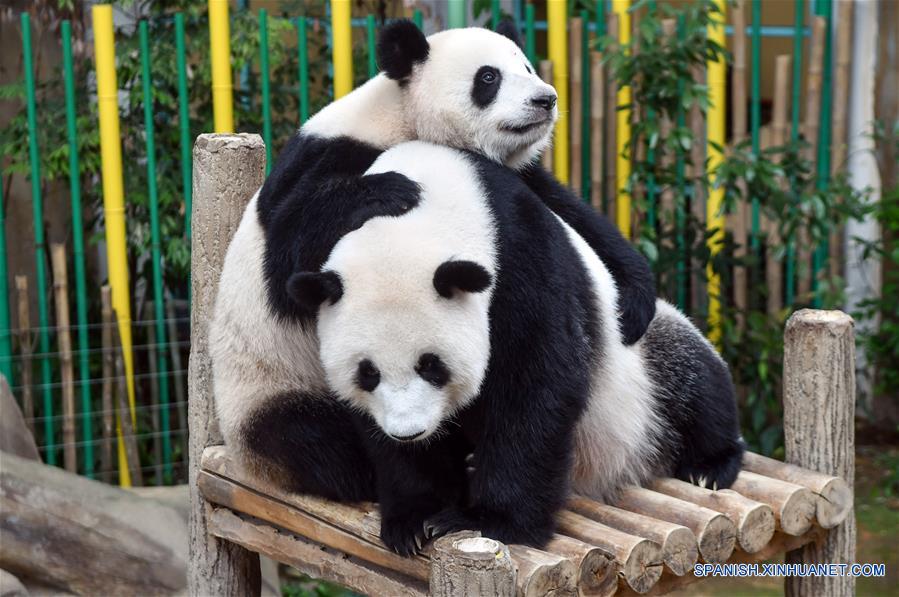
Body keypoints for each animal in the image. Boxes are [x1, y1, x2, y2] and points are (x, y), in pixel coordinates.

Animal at [212, 22, 655, 502]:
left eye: (527, 67)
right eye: (488, 78)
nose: (546, 99)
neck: (404, 116)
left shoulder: (511, 177)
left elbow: (571, 215)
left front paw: (633, 303)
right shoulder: (327, 156)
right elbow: (287, 249)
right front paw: (390, 189)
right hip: (266, 388)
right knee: (313, 439)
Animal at [287, 141, 745, 555]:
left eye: (432, 366)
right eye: (367, 373)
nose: (410, 432)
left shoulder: (518, 256)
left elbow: (536, 385)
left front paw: (490, 521)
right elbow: (375, 430)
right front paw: (416, 518)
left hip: (645, 371)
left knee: (693, 379)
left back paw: (711, 465)